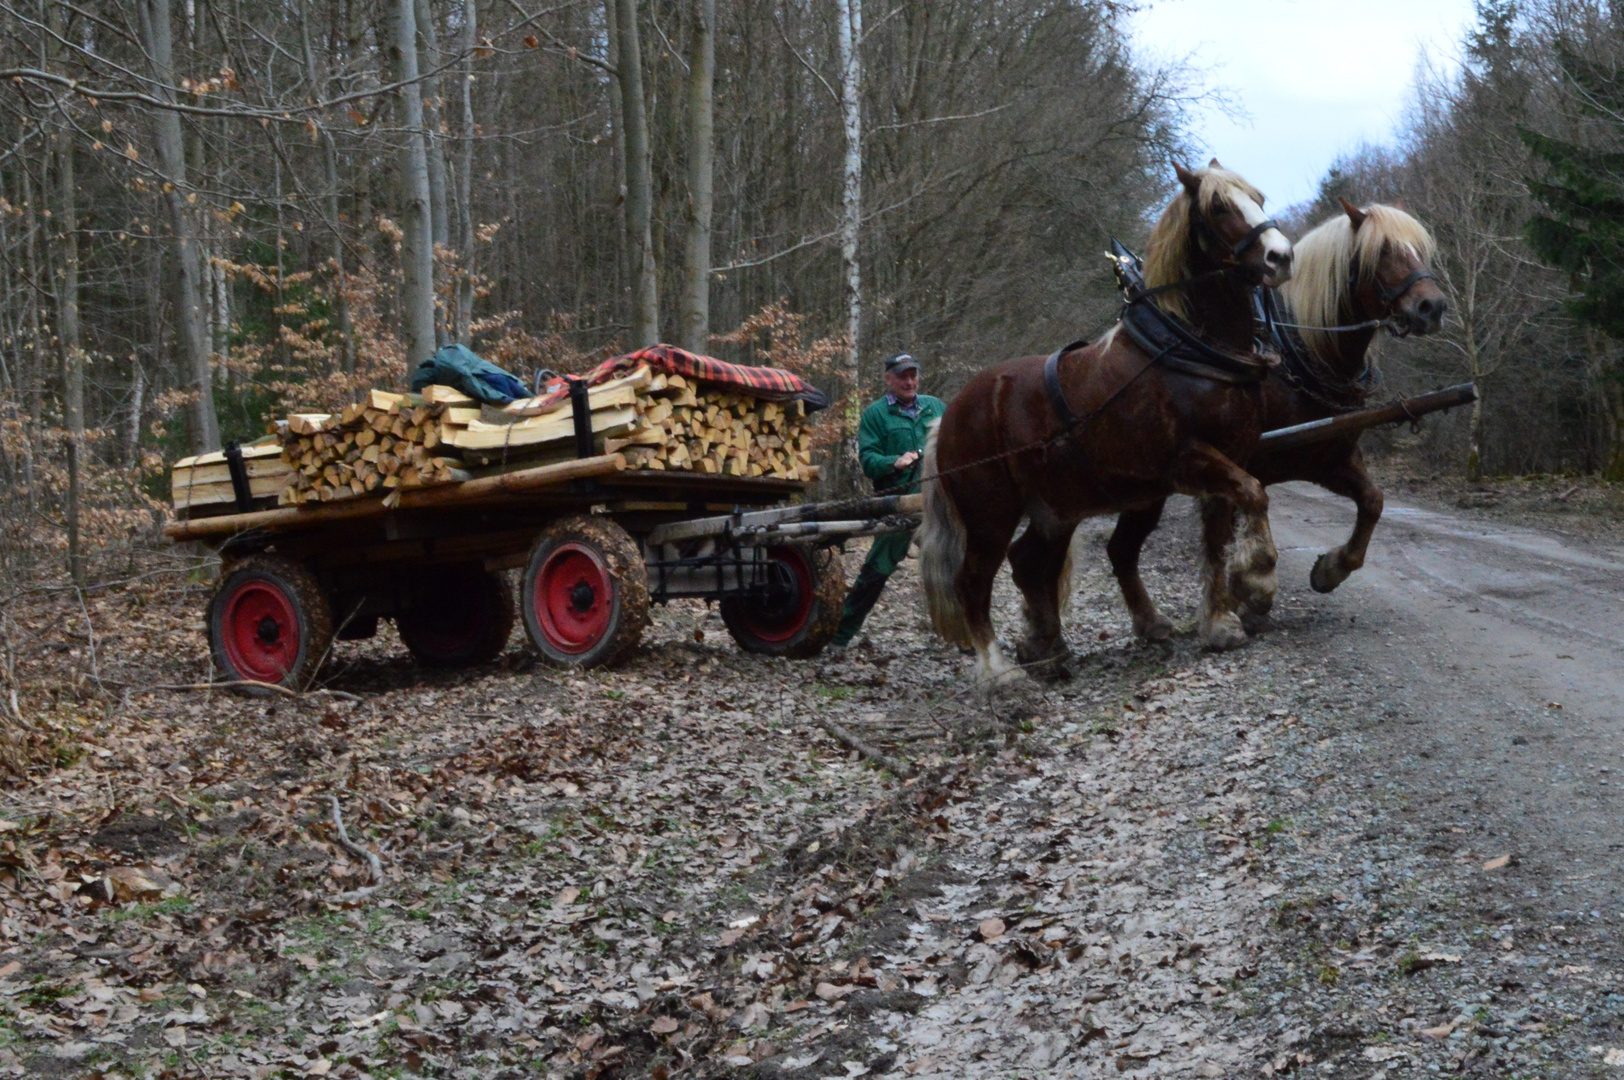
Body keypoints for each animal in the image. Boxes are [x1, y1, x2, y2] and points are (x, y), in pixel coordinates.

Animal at [928, 159, 1292, 682]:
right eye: (1220, 207)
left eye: (1259, 198)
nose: (1280, 257)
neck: (1191, 349)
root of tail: (951, 414)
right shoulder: (1192, 459)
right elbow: (1255, 494)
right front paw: (1259, 581)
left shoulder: (1227, 459)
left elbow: (1218, 538)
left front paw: (1220, 622)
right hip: (989, 514)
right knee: (974, 583)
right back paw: (1000, 673)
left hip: (1057, 506)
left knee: (1031, 561)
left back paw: (1049, 643)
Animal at [1110, 198, 1455, 639]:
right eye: (1381, 252)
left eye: (1420, 250)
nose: (1432, 307)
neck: (1303, 350)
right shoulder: (1244, 464)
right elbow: (1247, 518)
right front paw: (1250, 591)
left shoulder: (1328, 458)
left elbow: (1373, 502)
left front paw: (1329, 570)